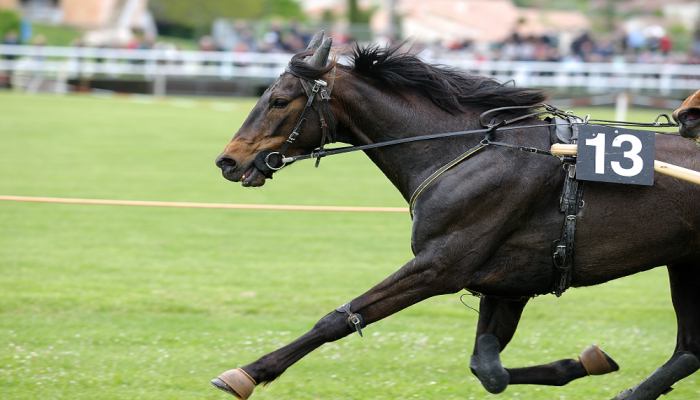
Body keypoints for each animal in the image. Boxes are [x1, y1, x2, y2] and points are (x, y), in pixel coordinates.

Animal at [212, 32, 700, 400]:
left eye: (279, 100)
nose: (228, 161)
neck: (462, 150)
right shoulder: (507, 283)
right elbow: (489, 369)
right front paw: (583, 362)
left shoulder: (440, 265)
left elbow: (338, 319)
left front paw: (246, 374)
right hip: (684, 264)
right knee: (688, 352)